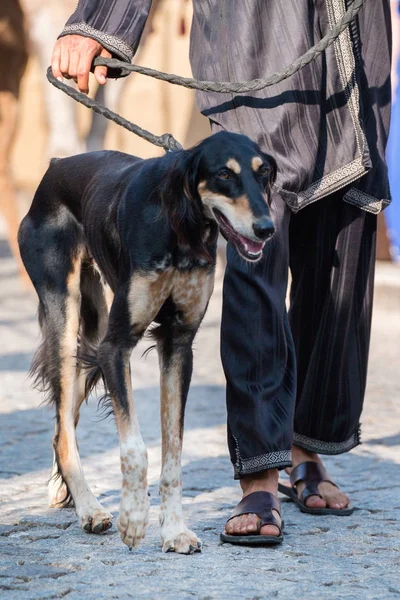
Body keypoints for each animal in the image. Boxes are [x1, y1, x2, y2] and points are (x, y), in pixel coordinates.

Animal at [18, 131, 276, 552]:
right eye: (224, 174)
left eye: (264, 171)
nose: (267, 228)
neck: (180, 223)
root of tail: (56, 165)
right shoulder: (116, 346)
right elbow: (136, 447)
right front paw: (134, 519)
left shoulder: (178, 344)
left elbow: (173, 448)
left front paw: (174, 531)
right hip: (66, 321)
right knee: (63, 432)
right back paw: (90, 509)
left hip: (91, 333)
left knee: (62, 426)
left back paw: (67, 494)